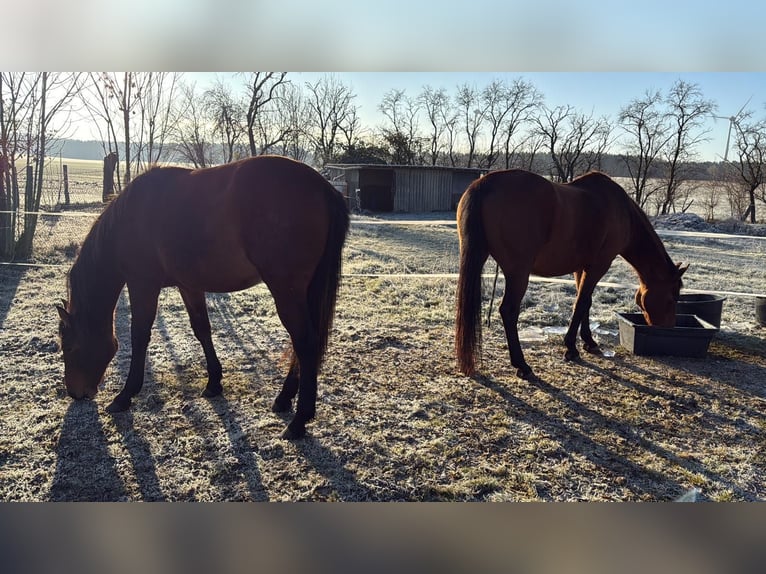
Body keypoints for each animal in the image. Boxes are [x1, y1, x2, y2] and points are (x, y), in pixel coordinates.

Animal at [56, 155, 349, 439]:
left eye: (68, 347)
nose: (75, 393)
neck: (130, 220)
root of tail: (323, 188)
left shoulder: (143, 284)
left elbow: (139, 336)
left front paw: (125, 395)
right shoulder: (189, 286)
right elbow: (202, 330)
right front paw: (214, 383)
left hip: (286, 292)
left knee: (305, 343)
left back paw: (299, 421)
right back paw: (284, 399)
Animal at [455, 169, 687, 379]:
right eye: (672, 298)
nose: (668, 328)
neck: (622, 212)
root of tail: (484, 183)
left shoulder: (581, 268)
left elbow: (585, 301)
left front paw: (588, 342)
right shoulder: (599, 266)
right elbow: (582, 303)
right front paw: (571, 348)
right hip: (518, 273)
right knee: (509, 311)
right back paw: (522, 365)